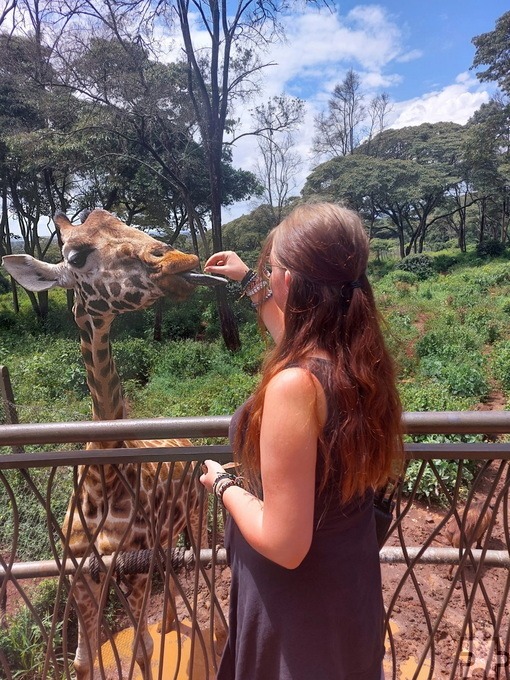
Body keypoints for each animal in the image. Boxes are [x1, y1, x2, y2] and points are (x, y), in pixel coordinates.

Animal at [0, 210, 226, 676]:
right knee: (171, 572)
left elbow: (140, 651)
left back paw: (212, 632)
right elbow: (82, 661)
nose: (179, 259)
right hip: (163, 538)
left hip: (195, 517)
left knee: (201, 565)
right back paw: (171, 623)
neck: (102, 479)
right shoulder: (82, 573)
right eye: (76, 257)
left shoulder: (132, 568)